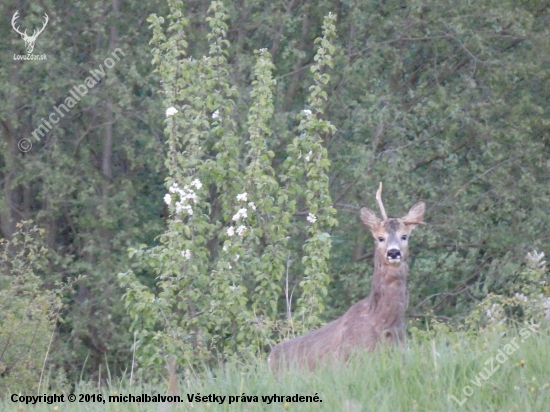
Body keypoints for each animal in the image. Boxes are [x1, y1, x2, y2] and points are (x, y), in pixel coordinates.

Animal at [270, 183, 430, 370]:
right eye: (380, 238)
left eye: (404, 236)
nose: (393, 252)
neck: (383, 323)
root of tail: (269, 357)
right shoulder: (349, 359)